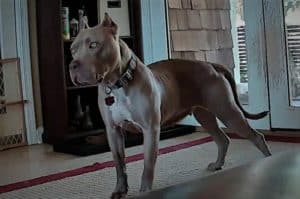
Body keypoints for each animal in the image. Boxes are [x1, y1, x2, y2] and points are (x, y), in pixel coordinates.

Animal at [69, 13, 272, 197]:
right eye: (72, 50)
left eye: (93, 45)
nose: (72, 65)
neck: (118, 84)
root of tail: (211, 65)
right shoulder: (113, 131)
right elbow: (119, 164)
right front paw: (119, 191)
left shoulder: (150, 129)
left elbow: (148, 166)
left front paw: (144, 192)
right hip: (204, 115)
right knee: (223, 139)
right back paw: (217, 165)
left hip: (227, 112)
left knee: (256, 136)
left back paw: (268, 160)